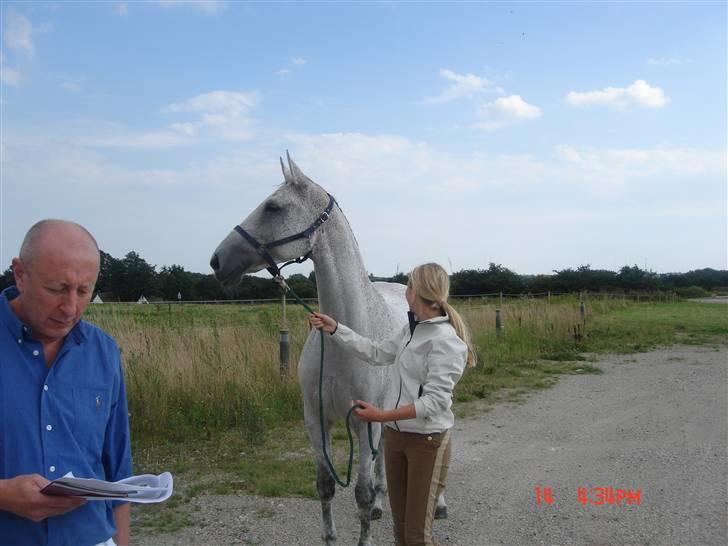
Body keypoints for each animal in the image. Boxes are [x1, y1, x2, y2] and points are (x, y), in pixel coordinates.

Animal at [210, 155, 446, 540]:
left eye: (273, 206)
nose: (217, 261)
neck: (343, 343)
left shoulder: (365, 422)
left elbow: (361, 492)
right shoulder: (316, 420)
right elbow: (326, 486)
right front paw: (332, 534)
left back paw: (438, 504)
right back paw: (383, 503)